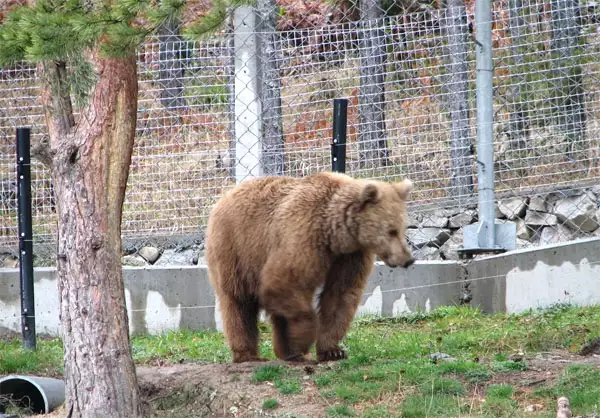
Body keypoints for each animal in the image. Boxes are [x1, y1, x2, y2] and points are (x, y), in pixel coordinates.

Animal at [204, 172, 414, 362]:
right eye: (391, 231)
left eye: (403, 227)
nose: (408, 259)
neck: (335, 233)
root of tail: (223, 197)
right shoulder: (304, 233)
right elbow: (283, 282)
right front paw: (304, 340)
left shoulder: (350, 256)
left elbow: (340, 295)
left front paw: (332, 350)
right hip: (236, 249)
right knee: (238, 302)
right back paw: (248, 354)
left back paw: (287, 352)